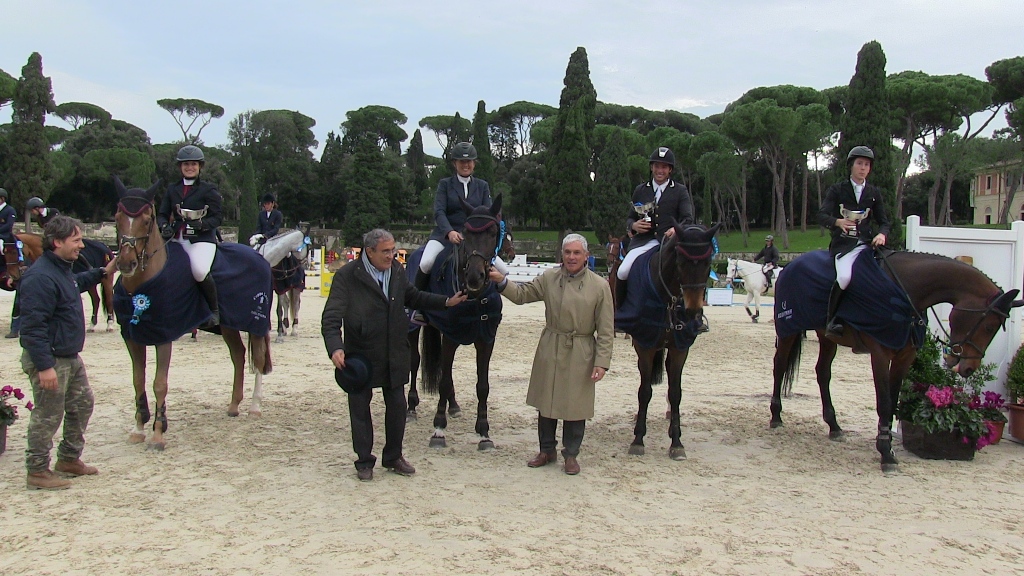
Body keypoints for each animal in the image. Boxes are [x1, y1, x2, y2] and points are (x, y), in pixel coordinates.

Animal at [113, 175, 272, 448]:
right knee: (238, 356)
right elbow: (137, 380)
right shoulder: (132, 338)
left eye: (147, 219)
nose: (126, 263)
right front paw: (138, 428)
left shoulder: (164, 336)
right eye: (117, 217)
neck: (146, 281)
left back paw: (254, 406)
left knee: (258, 359)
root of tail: (259, 257)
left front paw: (158, 433)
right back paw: (234, 405)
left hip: (256, 323)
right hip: (228, 326)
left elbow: (159, 383)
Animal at [405, 194, 505, 450]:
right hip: (412, 328)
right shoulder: (450, 336)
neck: (474, 297)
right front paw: (438, 430)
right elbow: (442, 380)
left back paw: (454, 406)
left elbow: (482, 385)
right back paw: (411, 407)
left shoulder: (486, 340)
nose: (475, 277)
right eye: (466, 233)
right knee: (414, 361)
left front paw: (484, 432)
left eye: (493, 232)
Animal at [614, 222, 720, 459]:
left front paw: (677, 442)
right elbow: (644, 391)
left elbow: (675, 393)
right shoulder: (644, 345)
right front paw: (638, 439)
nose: (692, 313)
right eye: (680, 263)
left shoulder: (680, 348)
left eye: (708, 264)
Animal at [770, 248, 1019, 471]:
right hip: (789, 330)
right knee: (779, 366)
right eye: (989, 326)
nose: (968, 368)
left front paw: (887, 446)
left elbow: (893, 400)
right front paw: (886, 455)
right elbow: (884, 401)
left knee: (822, 372)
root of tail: (791, 264)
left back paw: (834, 426)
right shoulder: (880, 355)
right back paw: (776, 416)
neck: (905, 292)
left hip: (827, 337)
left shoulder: (904, 358)